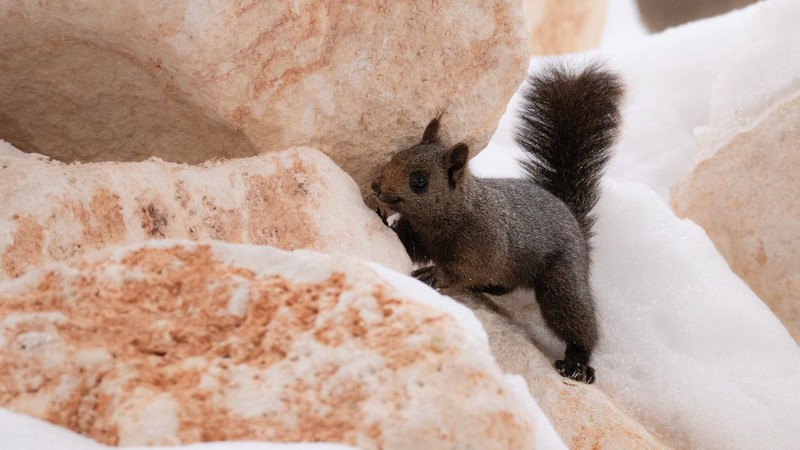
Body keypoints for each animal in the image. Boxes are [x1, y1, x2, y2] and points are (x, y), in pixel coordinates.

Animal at [368, 62, 624, 384]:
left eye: (419, 181)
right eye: (397, 155)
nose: (375, 187)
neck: (444, 218)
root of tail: (571, 215)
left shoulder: (484, 242)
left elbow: (464, 269)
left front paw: (434, 274)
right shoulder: (418, 235)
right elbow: (406, 244)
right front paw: (382, 221)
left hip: (563, 278)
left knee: (576, 320)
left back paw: (577, 363)